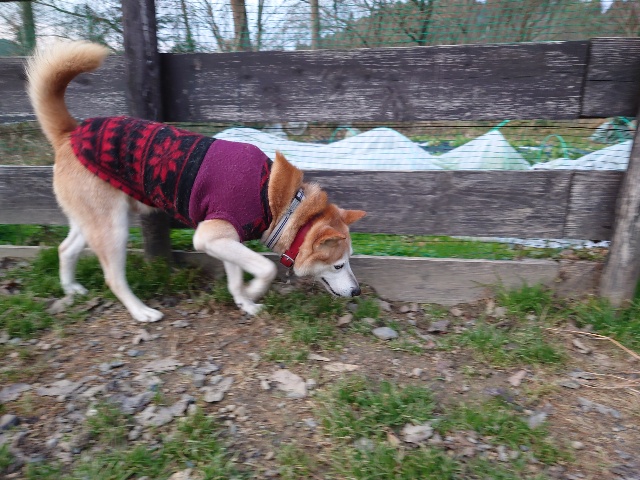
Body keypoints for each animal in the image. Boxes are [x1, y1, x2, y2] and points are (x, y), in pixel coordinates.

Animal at [26, 41, 366, 322]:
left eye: (349, 261)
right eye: (339, 264)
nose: (358, 292)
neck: (279, 202)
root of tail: (70, 133)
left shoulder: (225, 238)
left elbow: (235, 277)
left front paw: (245, 302)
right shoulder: (209, 235)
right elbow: (266, 267)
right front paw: (254, 291)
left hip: (92, 221)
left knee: (65, 249)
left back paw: (71, 289)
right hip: (113, 228)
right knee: (112, 276)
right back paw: (141, 312)